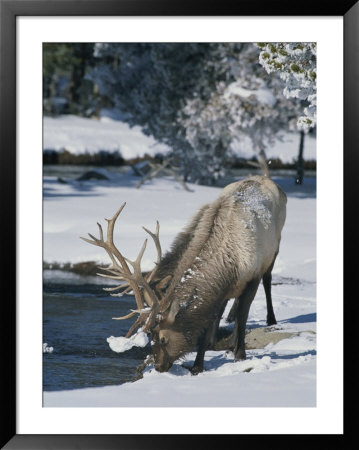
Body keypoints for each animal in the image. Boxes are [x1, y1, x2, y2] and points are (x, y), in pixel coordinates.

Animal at [81, 175, 286, 372]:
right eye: (152, 337)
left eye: (163, 338)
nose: (158, 366)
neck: (230, 264)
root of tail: (265, 179)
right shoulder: (218, 291)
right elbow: (209, 321)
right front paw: (199, 363)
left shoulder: (253, 276)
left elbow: (243, 317)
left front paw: (239, 355)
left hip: (275, 247)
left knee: (267, 280)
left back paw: (269, 319)